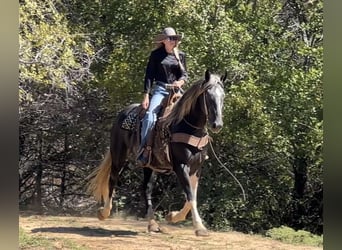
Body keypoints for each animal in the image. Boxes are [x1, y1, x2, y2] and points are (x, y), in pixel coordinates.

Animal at [87, 69, 231, 235]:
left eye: (223, 96)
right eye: (208, 95)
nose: (217, 124)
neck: (188, 126)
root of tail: (123, 112)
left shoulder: (196, 168)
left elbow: (192, 196)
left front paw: (173, 216)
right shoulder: (180, 166)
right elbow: (190, 195)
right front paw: (199, 227)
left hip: (149, 165)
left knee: (146, 188)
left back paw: (152, 224)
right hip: (118, 155)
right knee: (113, 178)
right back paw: (104, 212)